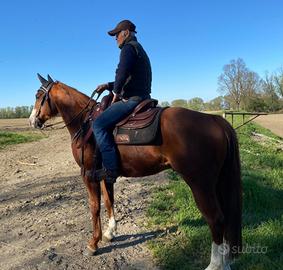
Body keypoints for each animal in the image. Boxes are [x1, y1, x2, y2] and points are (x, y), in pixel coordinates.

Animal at [28, 75, 242, 270]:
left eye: (38, 95)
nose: (32, 121)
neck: (85, 122)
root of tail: (214, 120)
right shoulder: (106, 175)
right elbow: (109, 201)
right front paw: (110, 233)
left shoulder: (88, 174)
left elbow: (94, 207)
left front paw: (93, 243)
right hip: (217, 183)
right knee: (225, 218)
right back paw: (225, 262)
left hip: (200, 184)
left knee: (216, 219)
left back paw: (215, 265)